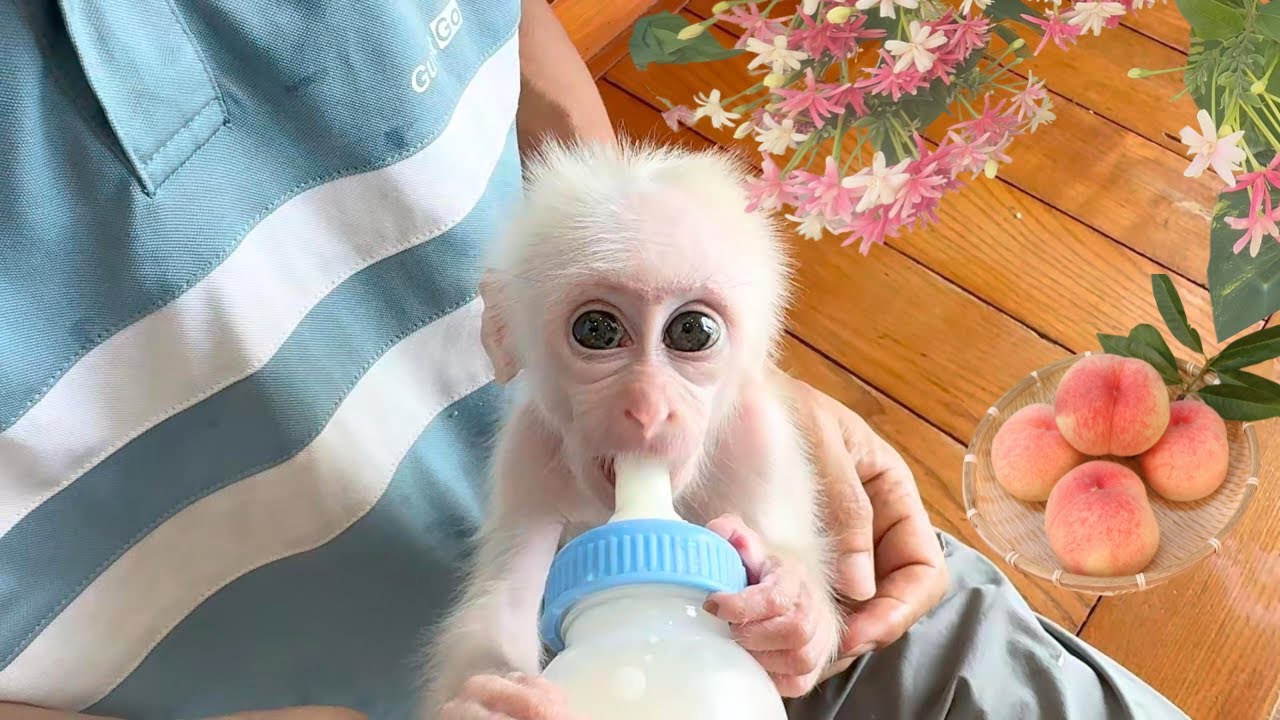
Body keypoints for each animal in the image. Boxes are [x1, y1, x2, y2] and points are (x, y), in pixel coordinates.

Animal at [419, 138, 846, 720]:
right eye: (597, 330)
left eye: (692, 331)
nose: (647, 409)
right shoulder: (528, 452)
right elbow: (499, 597)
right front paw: (487, 702)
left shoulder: (760, 438)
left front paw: (791, 612)